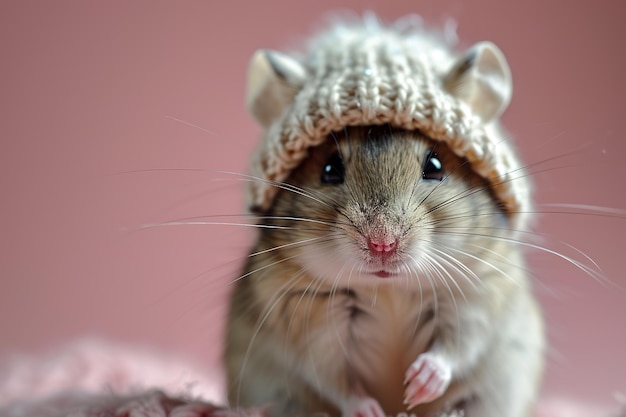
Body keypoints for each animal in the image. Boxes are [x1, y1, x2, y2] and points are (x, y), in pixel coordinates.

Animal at [223, 16, 540, 417]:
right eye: (329, 169)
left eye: (435, 166)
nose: (382, 245)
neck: (388, 289)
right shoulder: (306, 321)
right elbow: (335, 380)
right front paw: (371, 409)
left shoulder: (479, 292)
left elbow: (456, 347)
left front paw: (418, 386)